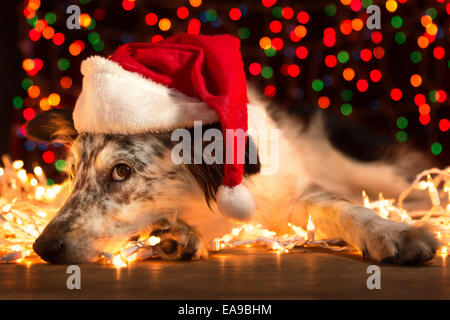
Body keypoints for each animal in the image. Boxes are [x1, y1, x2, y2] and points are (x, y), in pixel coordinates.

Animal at [25, 89, 440, 262]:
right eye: (74, 172)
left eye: (121, 171)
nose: (43, 247)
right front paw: (176, 237)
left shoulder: (291, 194)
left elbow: (345, 208)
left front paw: (393, 233)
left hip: (367, 166)